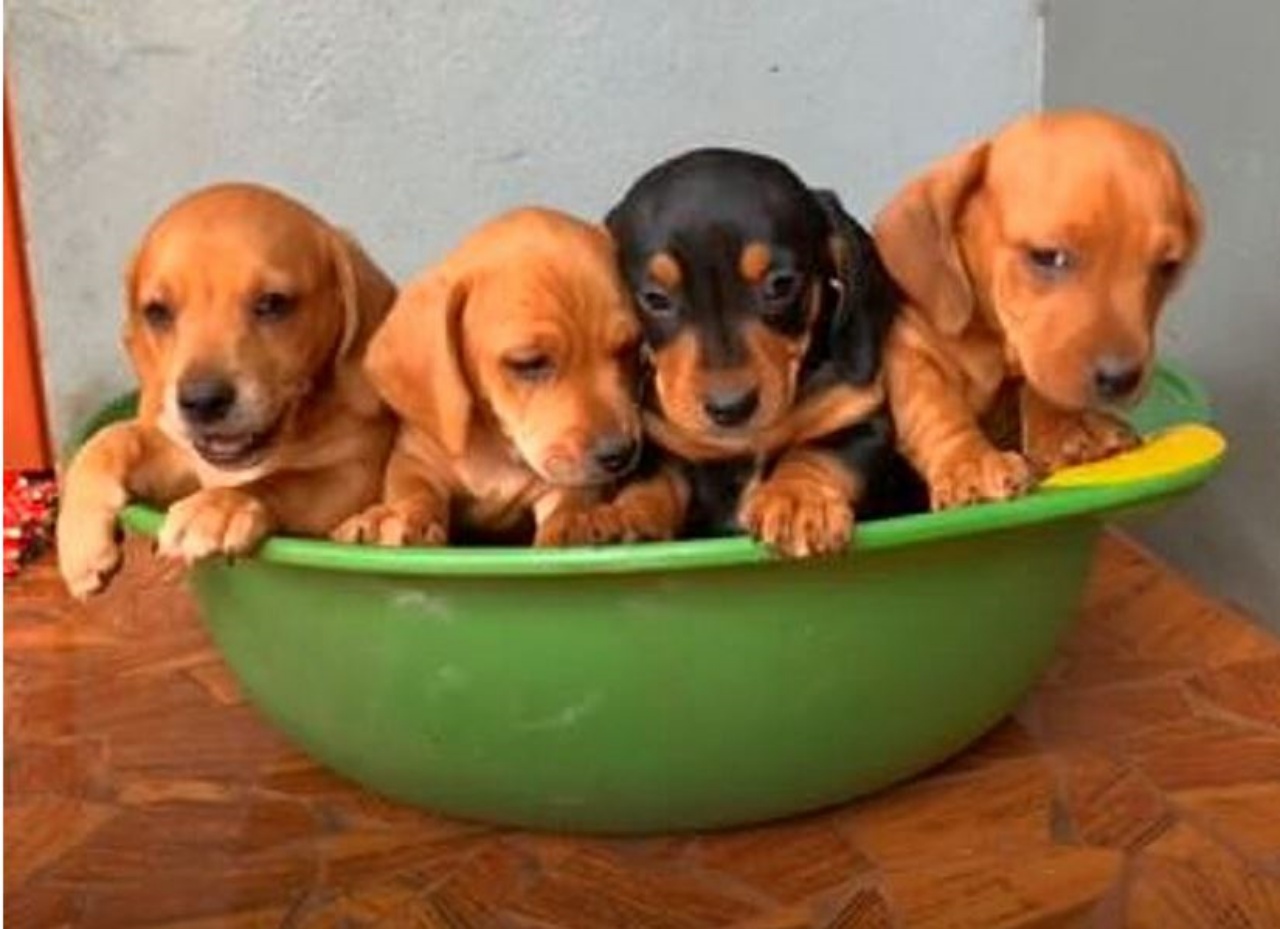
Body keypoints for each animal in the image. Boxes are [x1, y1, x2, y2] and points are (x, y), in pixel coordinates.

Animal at [57, 185, 396, 601]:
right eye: (157, 312)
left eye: (272, 304)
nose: (201, 401)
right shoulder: (184, 457)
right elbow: (112, 439)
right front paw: (79, 536)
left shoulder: (354, 474)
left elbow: (281, 482)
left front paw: (220, 508)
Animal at [335, 207, 650, 550]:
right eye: (530, 363)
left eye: (629, 348)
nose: (620, 454)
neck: (498, 446)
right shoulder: (416, 459)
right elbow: (414, 491)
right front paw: (404, 517)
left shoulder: (565, 479)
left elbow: (571, 499)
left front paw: (573, 524)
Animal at [604, 150, 906, 560]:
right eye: (654, 298)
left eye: (780, 284)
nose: (730, 408)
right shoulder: (661, 446)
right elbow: (651, 481)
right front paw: (626, 514)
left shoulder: (860, 421)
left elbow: (818, 454)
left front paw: (798, 500)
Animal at [870, 112, 1198, 511]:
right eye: (1048, 256)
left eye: (1167, 268)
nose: (1122, 380)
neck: (996, 343)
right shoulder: (910, 349)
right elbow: (935, 409)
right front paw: (969, 462)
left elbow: (1039, 386)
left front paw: (1068, 428)